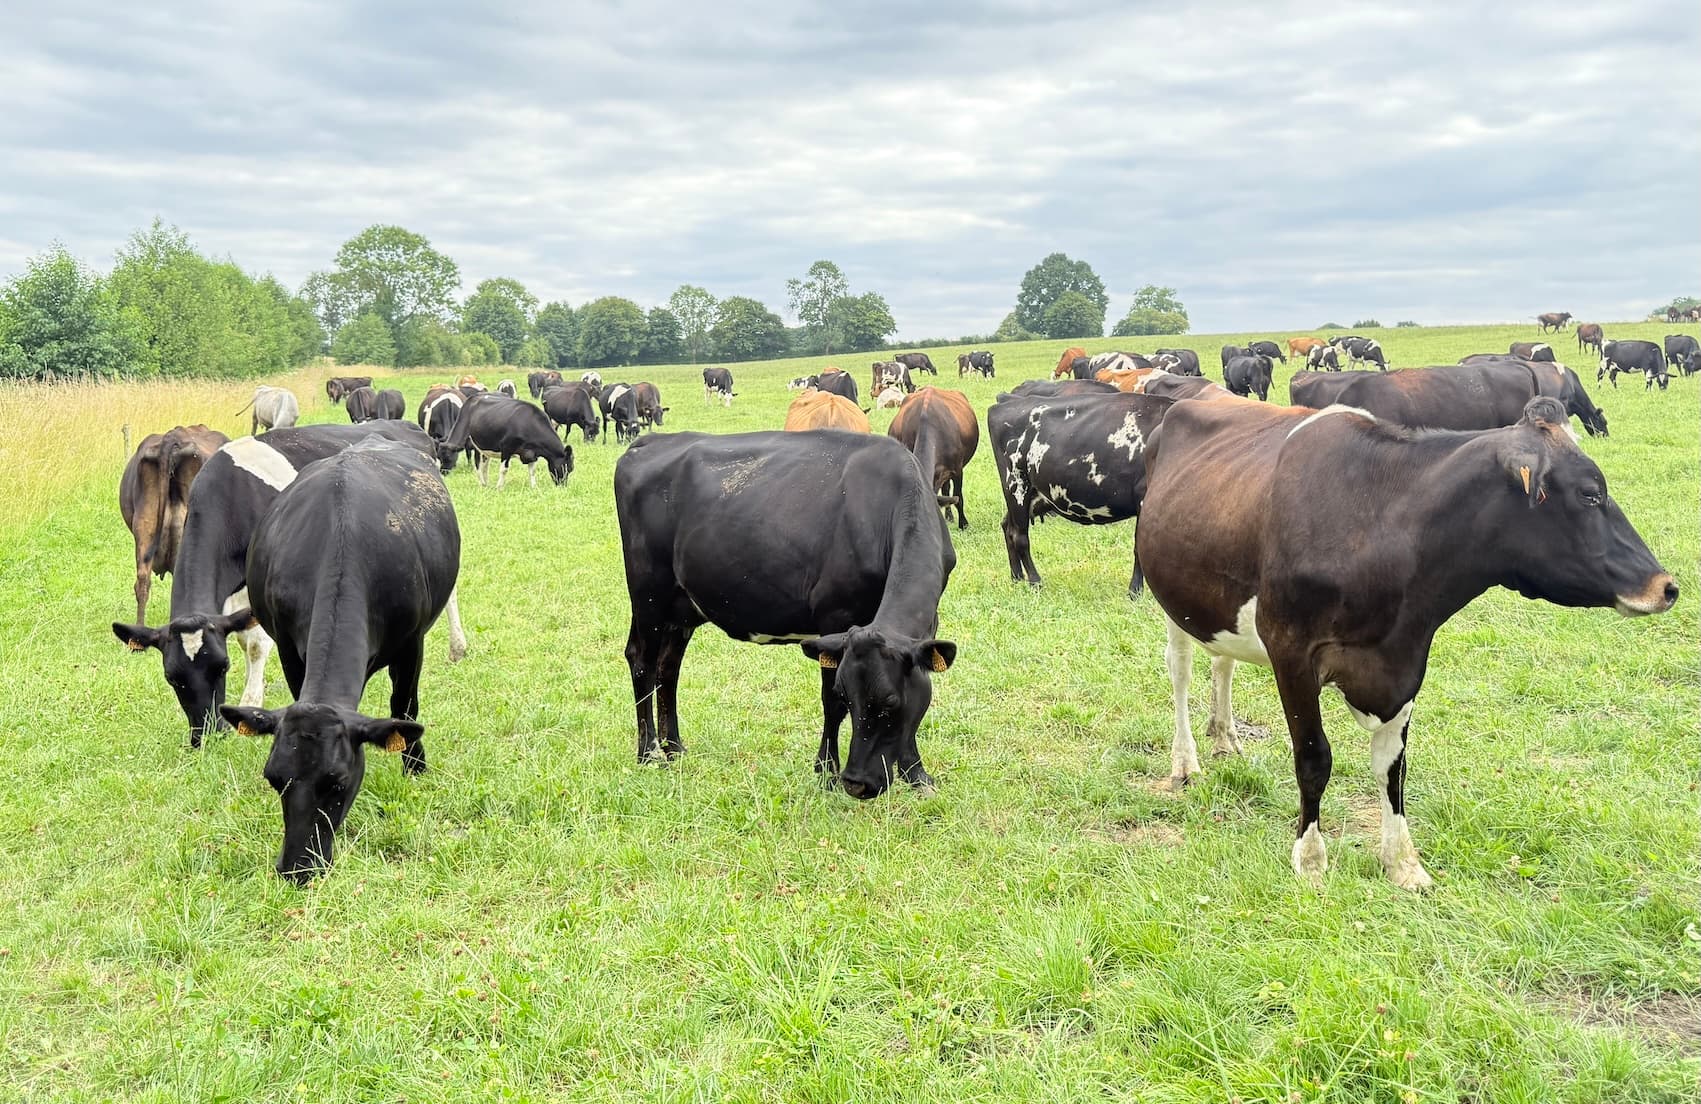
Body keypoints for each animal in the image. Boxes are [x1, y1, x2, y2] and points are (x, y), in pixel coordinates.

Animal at [217, 437, 466, 883]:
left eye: (337, 782)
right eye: (274, 779)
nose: (297, 868)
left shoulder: (412, 642)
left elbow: (404, 705)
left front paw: (415, 768)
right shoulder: (288, 647)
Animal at [438, 393, 574, 486]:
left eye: (570, 469)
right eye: (567, 467)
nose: (563, 486)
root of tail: (476, 397)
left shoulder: (531, 453)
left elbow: (532, 471)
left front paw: (534, 487)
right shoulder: (506, 448)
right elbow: (503, 469)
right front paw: (499, 487)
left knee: (484, 464)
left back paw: (486, 483)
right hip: (475, 444)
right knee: (478, 465)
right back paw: (482, 484)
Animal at [614, 431, 957, 796]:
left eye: (891, 703)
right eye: (848, 695)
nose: (857, 783)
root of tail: (652, 439)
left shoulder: (927, 625)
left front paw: (916, 774)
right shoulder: (835, 617)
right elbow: (830, 704)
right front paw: (826, 771)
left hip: (681, 608)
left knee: (668, 667)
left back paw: (675, 748)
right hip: (648, 594)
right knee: (642, 661)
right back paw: (649, 753)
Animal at [987, 389, 1174, 595]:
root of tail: (1008, 400)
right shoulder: (1143, 498)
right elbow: (1139, 549)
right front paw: (1135, 591)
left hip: (1032, 496)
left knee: (1007, 526)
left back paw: (1017, 578)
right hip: (1017, 485)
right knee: (1019, 536)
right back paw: (1035, 581)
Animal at [1136, 396, 1675, 890]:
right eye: (1590, 494)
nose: (1667, 586)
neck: (1381, 524)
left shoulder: (1407, 658)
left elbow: (1392, 769)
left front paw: (1403, 864)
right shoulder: (1290, 649)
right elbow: (1314, 758)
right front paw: (1310, 860)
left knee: (1222, 661)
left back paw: (1225, 737)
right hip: (1172, 600)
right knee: (1181, 670)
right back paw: (1185, 762)